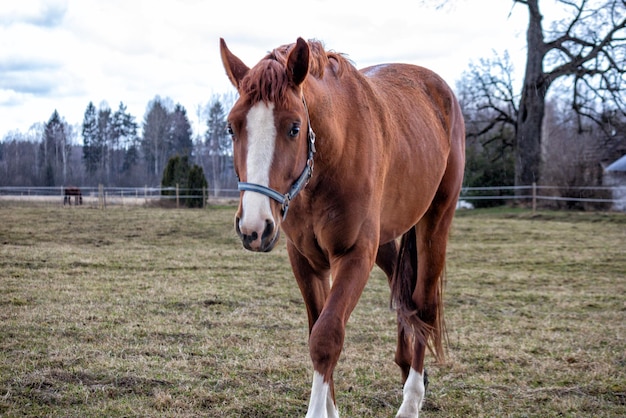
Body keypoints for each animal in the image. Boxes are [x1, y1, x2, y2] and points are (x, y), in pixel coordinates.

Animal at [219, 37, 464, 416]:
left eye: (294, 127)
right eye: (232, 127)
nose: (254, 228)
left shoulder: (354, 255)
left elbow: (326, 337)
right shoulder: (306, 260)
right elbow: (315, 330)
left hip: (435, 224)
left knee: (422, 304)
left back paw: (412, 399)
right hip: (385, 240)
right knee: (403, 296)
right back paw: (406, 365)